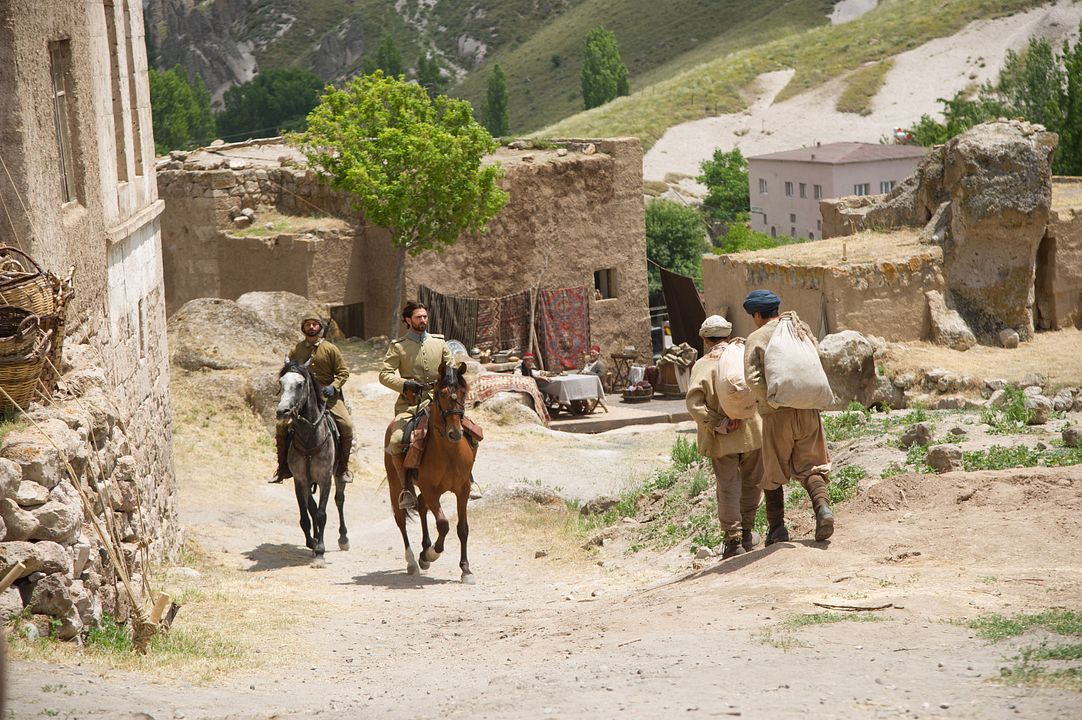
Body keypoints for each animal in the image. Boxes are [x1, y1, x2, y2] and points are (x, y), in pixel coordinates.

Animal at [276, 361, 348, 558]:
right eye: (281, 383)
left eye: (300, 384)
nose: (282, 411)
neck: (310, 438)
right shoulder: (300, 480)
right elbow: (306, 515)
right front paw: (312, 542)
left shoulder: (325, 479)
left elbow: (322, 514)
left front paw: (320, 550)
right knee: (312, 507)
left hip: (338, 475)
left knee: (339, 500)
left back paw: (343, 538)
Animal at [385, 361, 478, 580]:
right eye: (441, 393)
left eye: (463, 392)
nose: (455, 433)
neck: (449, 453)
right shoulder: (430, 490)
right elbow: (443, 523)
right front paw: (432, 553)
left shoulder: (462, 490)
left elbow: (463, 528)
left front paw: (465, 569)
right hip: (395, 486)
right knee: (401, 520)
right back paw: (413, 560)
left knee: (421, 506)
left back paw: (423, 550)